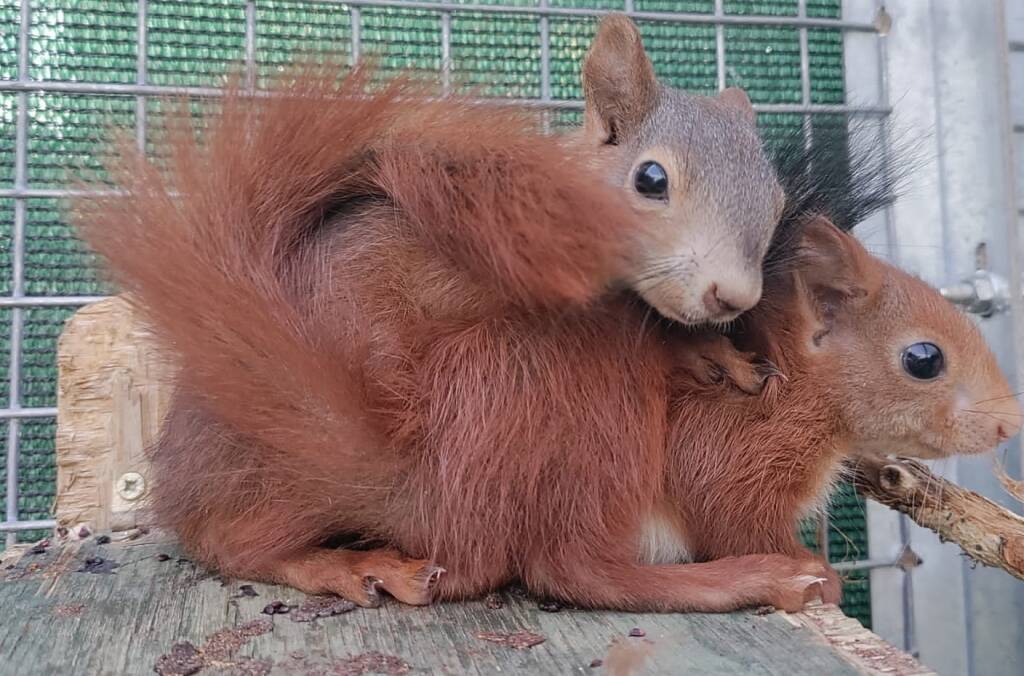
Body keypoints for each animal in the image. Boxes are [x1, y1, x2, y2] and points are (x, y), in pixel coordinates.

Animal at [72, 30, 1015, 614]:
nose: (1009, 422)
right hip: (562, 410)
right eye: (923, 358)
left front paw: (713, 346)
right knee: (568, 567)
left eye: (774, 196)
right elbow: (721, 501)